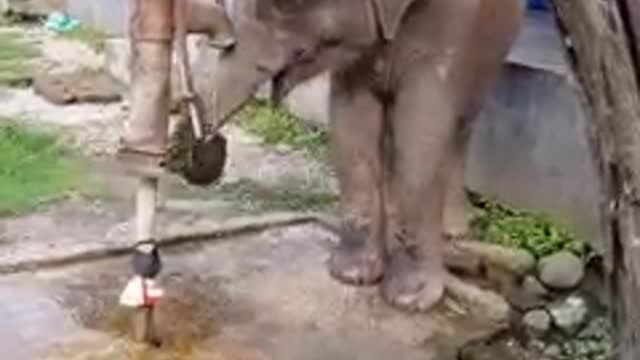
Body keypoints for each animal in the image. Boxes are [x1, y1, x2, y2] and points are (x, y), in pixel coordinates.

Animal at [202, 0, 524, 310]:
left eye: (286, 5)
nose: (207, 140)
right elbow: (351, 118)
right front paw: (351, 275)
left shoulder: (448, 25)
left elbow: (420, 128)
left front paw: (409, 300)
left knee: (461, 126)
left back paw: (453, 231)